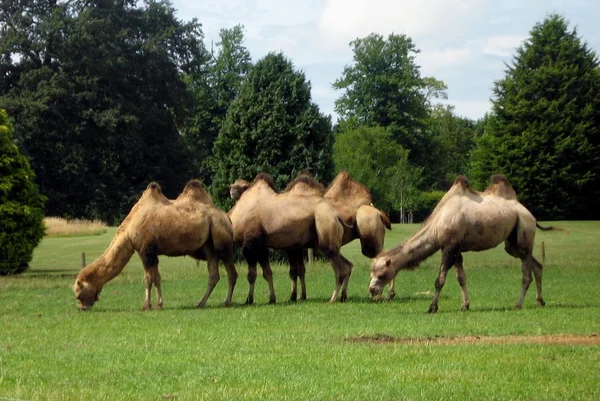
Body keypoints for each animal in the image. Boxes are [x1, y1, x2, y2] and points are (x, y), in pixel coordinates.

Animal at [72, 180, 237, 310]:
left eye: (78, 295)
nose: (81, 308)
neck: (129, 231)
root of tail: (227, 218)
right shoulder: (146, 252)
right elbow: (155, 278)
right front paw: (157, 304)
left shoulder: (148, 251)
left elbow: (149, 280)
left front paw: (148, 305)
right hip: (209, 245)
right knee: (213, 274)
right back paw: (200, 303)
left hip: (221, 238)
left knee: (231, 272)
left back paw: (227, 302)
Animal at [229, 171, 352, 304]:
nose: (231, 189)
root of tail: (336, 215)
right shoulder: (262, 246)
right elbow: (267, 273)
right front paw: (272, 298)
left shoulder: (251, 243)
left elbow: (251, 275)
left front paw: (249, 300)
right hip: (322, 243)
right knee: (347, 265)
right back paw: (343, 296)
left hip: (325, 227)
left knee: (339, 271)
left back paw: (333, 299)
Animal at [368, 175, 560, 312]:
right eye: (372, 273)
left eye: (382, 274)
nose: (372, 290)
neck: (438, 223)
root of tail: (531, 215)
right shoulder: (457, 249)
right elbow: (461, 278)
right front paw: (465, 305)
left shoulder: (449, 247)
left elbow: (439, 280)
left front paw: (432, 307)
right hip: (511, 242)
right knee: (536, 265)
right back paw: (540, 301)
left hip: (524, 229)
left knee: (526, 272)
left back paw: (518, 304)